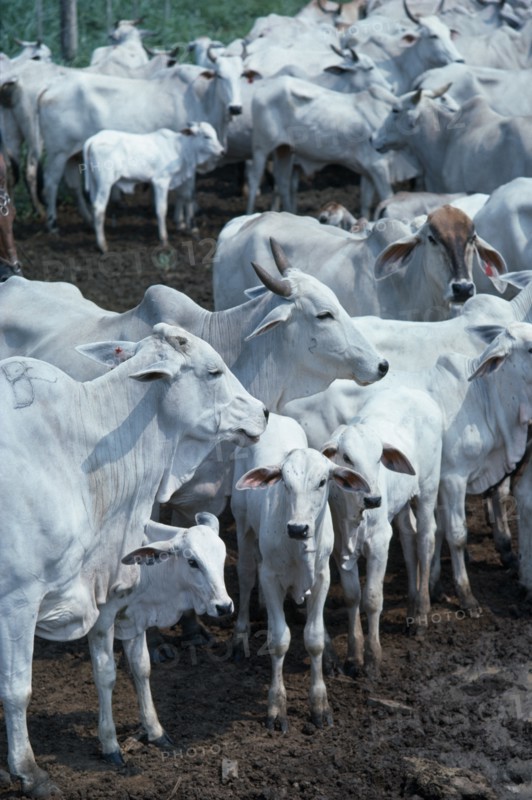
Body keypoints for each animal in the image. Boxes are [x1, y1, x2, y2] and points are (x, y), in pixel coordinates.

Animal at [82, 123, 225, 250]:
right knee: (99, 208)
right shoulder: (161, 181)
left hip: (95, 183)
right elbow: (161, 209)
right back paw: (102, 245)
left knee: (93, 205)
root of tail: (93, 139)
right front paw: (164, 239)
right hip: (105, 183)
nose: (222, 151)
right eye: (207, 136)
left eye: (215, 134)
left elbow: (182, 197)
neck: (180, 148)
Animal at [232, 413, 368, 731]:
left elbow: (313, 638)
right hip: (242, 523)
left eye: (322, 481)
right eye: (285, 482)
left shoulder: (321, 578)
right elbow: (278, 640)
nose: (297, 528)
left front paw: (320, 705)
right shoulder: (270, 578)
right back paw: (241, 633)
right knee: (245, 574)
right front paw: (276, 708)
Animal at [322, 386, 443, 676]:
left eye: (378, 458)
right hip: (401, 506)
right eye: (347, 458)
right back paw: (411, 609)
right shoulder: (341, 550)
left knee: (425, 539)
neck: (354, 513)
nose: (374, 499)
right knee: (409, 541)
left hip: (428, 489)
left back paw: (421, 616)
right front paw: (353, 656)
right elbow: (352, 596)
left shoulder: (378, 543)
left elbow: (372, 598)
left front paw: (372, 658)